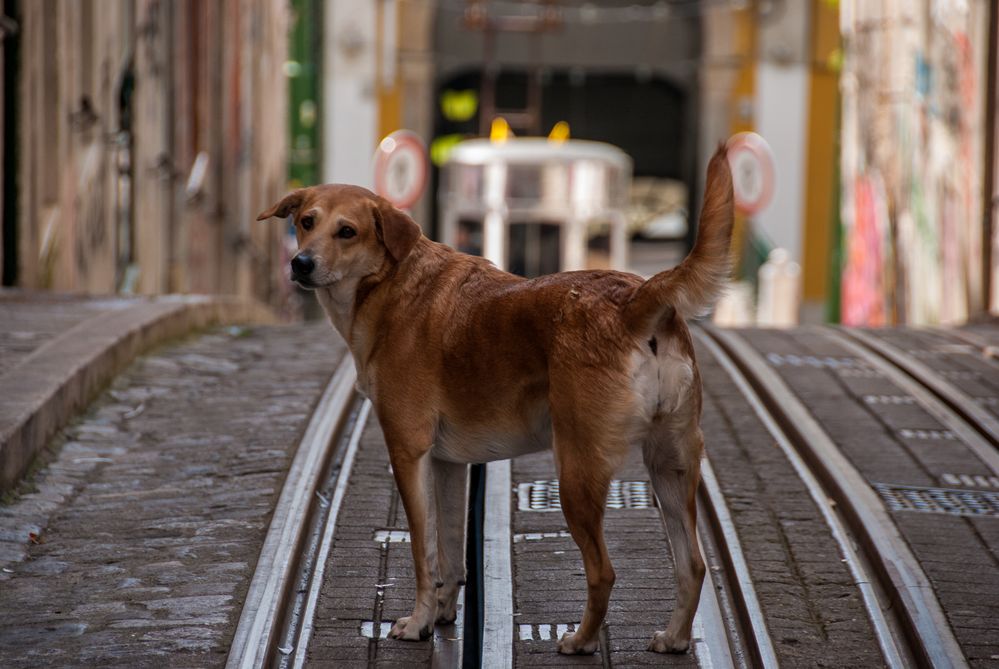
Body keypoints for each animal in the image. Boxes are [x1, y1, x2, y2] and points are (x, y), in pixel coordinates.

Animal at [260, 146, 736, 652]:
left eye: (346, 231)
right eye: (307, 222)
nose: (301, 263)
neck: (391, 284)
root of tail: (633, 298)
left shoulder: (408, 452)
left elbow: (423, 552)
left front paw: (418, 622)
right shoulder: (449, 464)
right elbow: (451, 554)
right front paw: (443, 614)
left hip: (577, 471)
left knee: (603, 572)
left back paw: (582, 640)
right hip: (671, 466)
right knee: (692, 565)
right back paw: (675, 637)